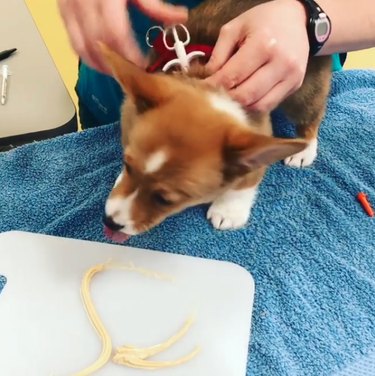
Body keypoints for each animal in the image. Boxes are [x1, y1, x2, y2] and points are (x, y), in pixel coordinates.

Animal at [100, 0, 332, 235]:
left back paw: (304, 150)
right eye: (127, 166)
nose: (109, 222)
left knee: (310, 115)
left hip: (303, 89)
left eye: (164, 200)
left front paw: (228, 211)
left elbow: (245, 182)